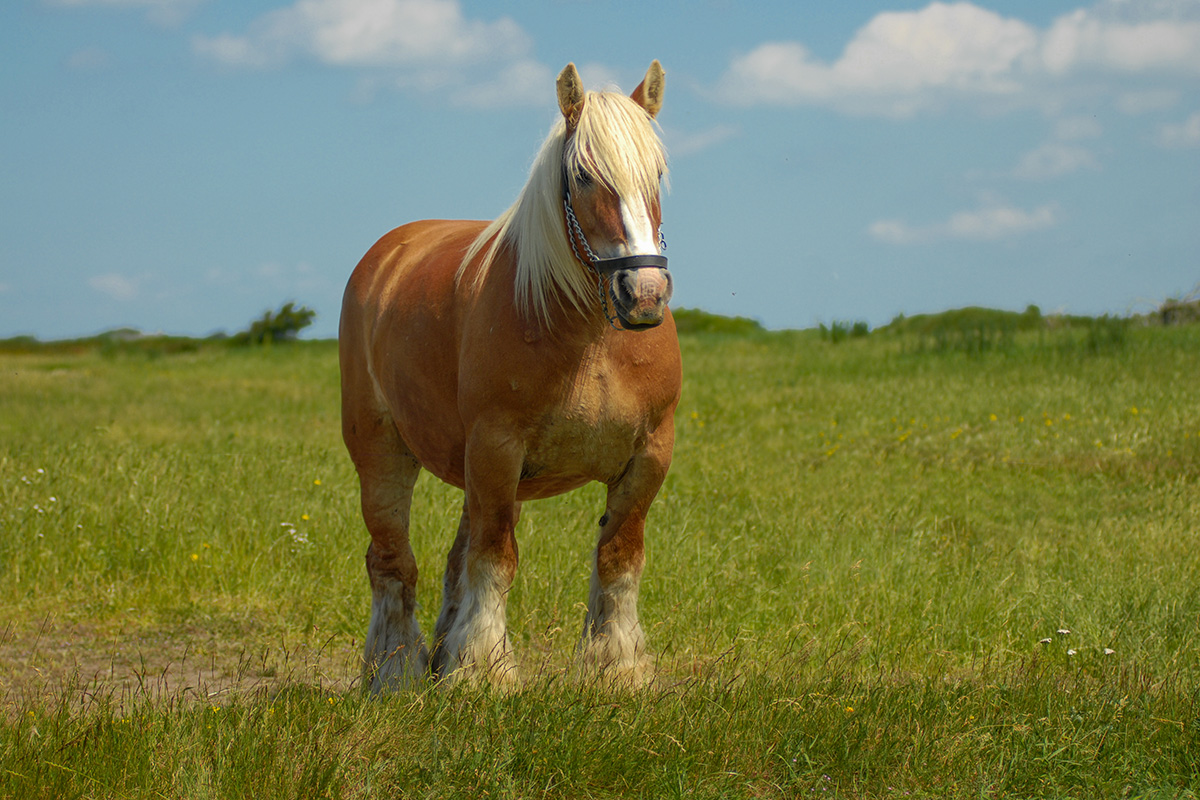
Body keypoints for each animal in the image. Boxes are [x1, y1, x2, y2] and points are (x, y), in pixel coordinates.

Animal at [338, 59, 681, 690]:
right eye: (583, 175)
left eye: (658, 173)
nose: (643, 292)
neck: (591, 342)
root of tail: (387, 255)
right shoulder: (497, 448)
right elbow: (495, 561)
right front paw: (484, 671)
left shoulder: (649, 455)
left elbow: (618, 559)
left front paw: (616, 668)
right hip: (382, 451)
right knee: (392, 560)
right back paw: (394, 670)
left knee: (452, 563)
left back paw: (437, 661)